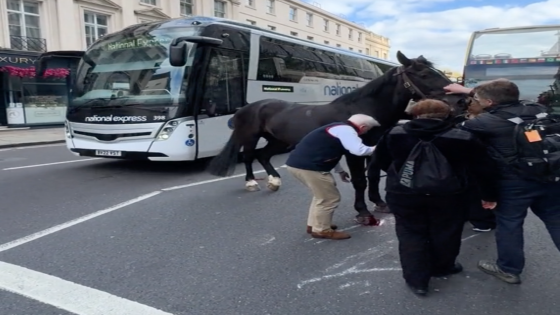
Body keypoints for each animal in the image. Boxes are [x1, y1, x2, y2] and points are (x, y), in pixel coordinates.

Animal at [208, 50, 466, 226]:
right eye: (423, 74)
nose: (461, 100)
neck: (362, 108)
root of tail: (248, 107)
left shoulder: (373, 148)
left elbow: (372, 176)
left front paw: (379, 202)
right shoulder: (353, 151)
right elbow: (360, 180)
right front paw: (363, 211)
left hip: (280, 141)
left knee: (264, 155)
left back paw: (274, 181)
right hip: (251, 137)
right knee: (249, 156)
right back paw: (252, 182)